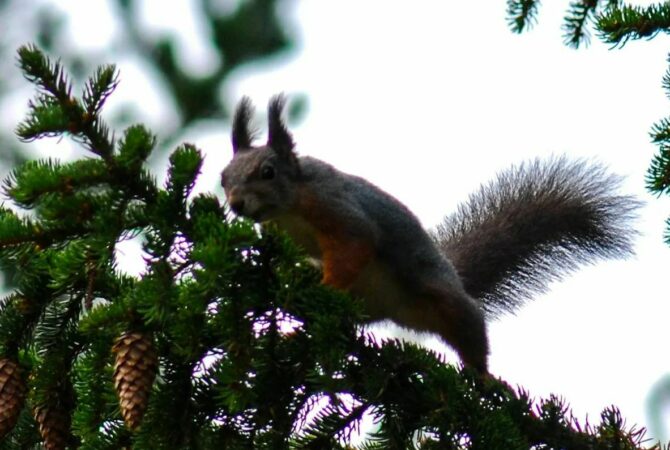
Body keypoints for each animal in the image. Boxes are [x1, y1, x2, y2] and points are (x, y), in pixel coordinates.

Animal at [220, 94, 638, 373]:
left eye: (268, 172)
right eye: (223, 178)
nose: (236, 204)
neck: (291, 207)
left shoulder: (337, 209)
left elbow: (357, 243)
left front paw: (325, 286)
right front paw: (290, 271)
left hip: (440, 296)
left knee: (469, 322)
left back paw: (483, 376)